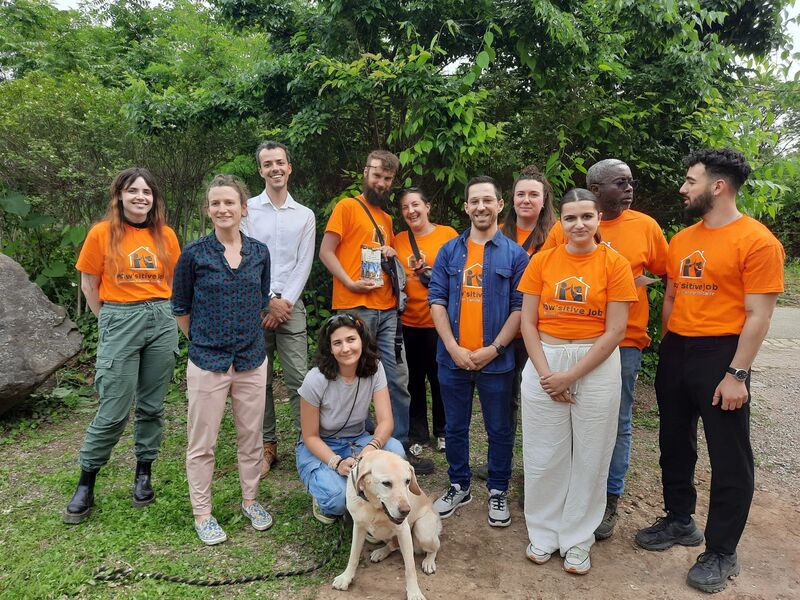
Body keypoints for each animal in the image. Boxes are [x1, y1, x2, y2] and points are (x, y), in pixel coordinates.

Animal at [332, 450, 444, 600]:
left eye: (407, 481)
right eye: (386, 483)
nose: (406, 511)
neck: (373, 506)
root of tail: (431, 504)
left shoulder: (404, 531)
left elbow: (410, 568)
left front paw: (414, 592)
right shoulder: (359, 527)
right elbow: (353, 556)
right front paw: (346, 578)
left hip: (423, 533)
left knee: (435, 547)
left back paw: (429, 561)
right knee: (393, 545)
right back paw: (381, 552)